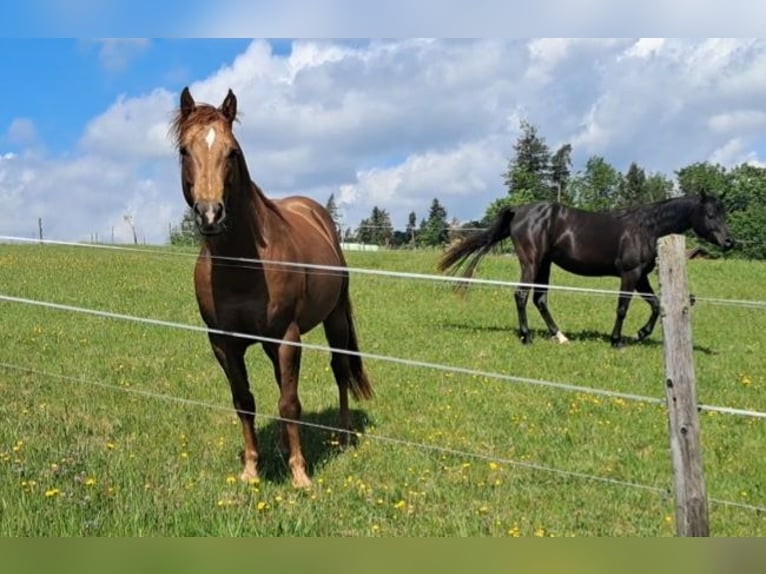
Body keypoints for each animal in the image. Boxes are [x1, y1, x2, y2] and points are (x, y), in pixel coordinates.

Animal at [171, 87, 373, 488]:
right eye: (185, 150)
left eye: (232, 152)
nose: (211, 214)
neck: (242, 264)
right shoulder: (223, 343)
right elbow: (244, 401)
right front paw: (252, 469)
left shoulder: (287, 337)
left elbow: (290, 403)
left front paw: (300, 474)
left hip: (334, 317)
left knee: (339, 368)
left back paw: (342, 437)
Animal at [438, 195, 735, 347]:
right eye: (710, 214)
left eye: (723, 213)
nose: (729, 241)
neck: (646, 228)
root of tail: (520, 210)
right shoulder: (630, 274)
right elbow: (622, 308)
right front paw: (617, 340)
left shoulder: (641, 276)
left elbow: (655, 304)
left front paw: (640, 333)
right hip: (531, 263)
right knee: (521, 295)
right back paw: (526, 336)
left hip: (544, 264)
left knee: (540, 299)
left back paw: (559, 336)